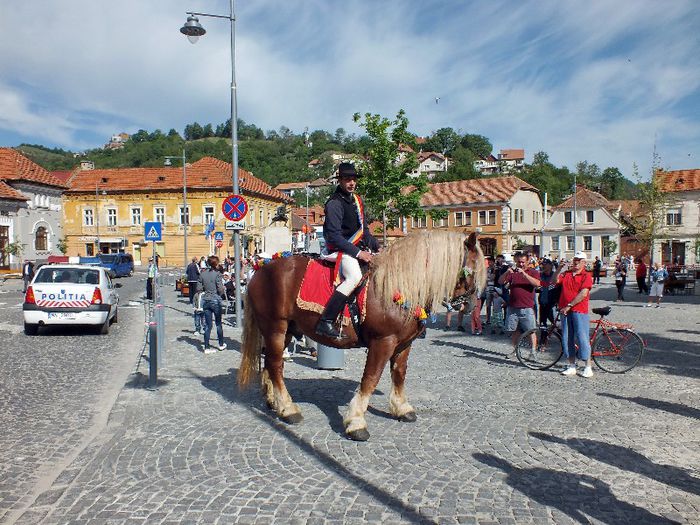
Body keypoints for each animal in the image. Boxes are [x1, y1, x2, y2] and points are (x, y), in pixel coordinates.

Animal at [238, 229, 484, 438]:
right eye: (471, 269)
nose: (472, 305)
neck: (397, 283)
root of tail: (261, 269)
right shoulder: (382, 343)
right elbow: (370, 379)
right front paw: (356, 421)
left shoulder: (404, 344)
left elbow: (399, 374)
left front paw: (401, 408)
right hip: (275, 328)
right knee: (276, 365)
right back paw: (288, 409)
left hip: (285, 330)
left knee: (271, 364)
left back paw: (274, 403)